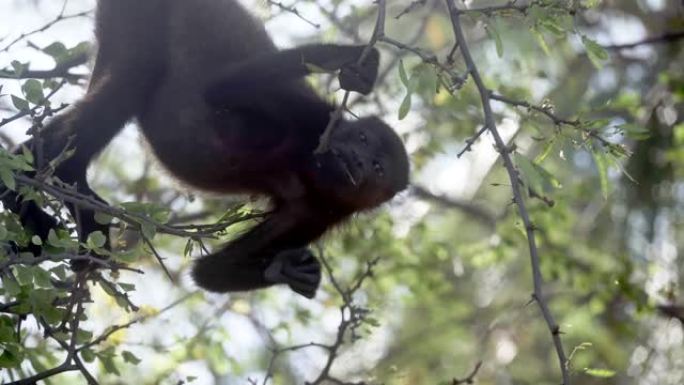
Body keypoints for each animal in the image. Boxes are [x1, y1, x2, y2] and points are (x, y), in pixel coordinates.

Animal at [2, 0, 408, 296]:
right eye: (363, 140)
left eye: (377, 168)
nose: (356, 159)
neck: (312, 168)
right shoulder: (313, 118)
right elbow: (228, 85)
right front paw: (353, 60)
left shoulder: (319, 212)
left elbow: (208, 273)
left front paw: (285, 269)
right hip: (137, 12)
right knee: (134, 76)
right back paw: (33, 178)